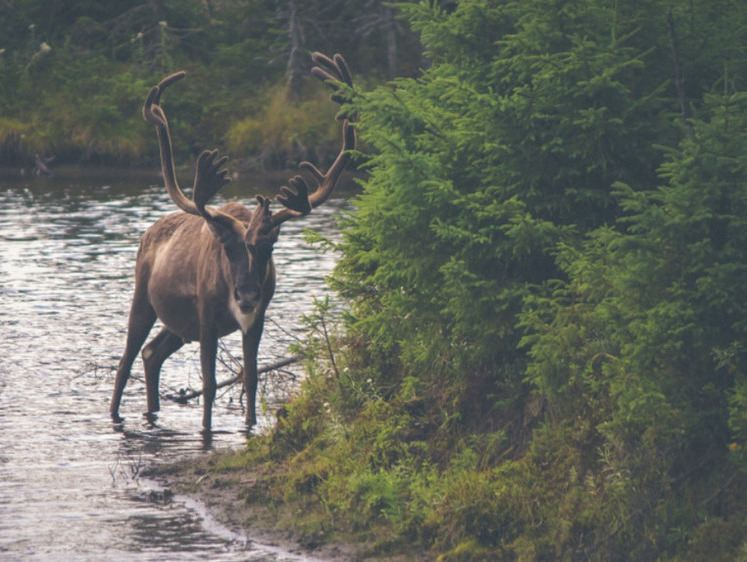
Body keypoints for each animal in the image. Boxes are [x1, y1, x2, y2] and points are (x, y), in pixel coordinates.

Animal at [111, 53, 356, 428]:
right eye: (227, 248)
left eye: (268, 247)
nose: (247, 294)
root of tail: (149, 232)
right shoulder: (207, 316)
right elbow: (210, 383)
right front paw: (206, 429)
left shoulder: (256, 319)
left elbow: (250, 377)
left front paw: (251, 425)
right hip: (143, 297)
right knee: (125, 361)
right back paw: (116, 413)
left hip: (179, 324)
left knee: (152, 353)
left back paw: (153, 411)